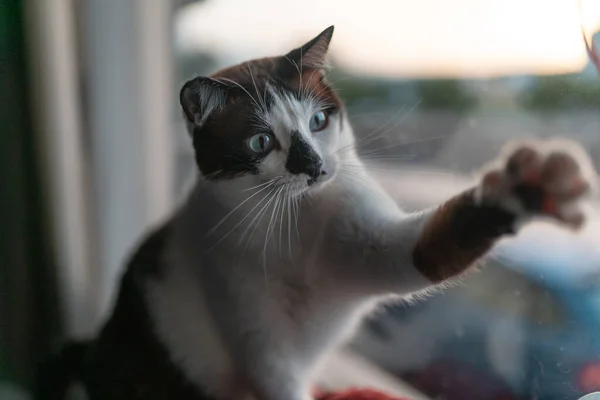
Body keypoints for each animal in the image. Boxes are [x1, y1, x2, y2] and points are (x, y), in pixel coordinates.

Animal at [36, 25, 596, 400]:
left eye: (319, 120)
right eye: (261, 142)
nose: (314, 166)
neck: (295, 221)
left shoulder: (374, 247)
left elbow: (435, 241)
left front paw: (530, 188)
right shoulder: (263, 348)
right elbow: (276, 375)